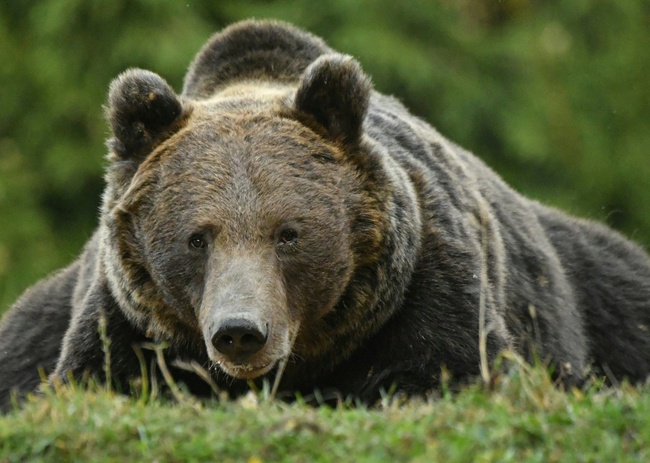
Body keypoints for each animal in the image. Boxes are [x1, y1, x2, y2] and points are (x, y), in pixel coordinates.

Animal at [2, 19, 650, 411]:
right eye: (196, 238)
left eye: (288, 233)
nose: (240, 331)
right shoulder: (124, 319)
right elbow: (97, 378)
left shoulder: (431, 284)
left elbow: (448, 370)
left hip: (591, 290)